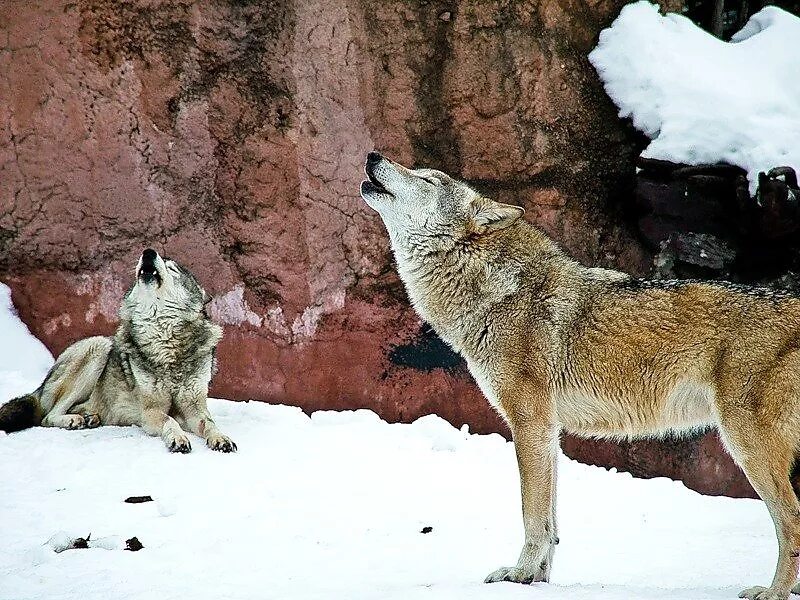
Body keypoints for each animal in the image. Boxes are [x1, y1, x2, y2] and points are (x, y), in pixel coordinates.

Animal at [0, 250, 238, 454]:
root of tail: (41, 386)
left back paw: (90, 418)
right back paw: (74, 420)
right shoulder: (150, 411)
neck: (165, 342)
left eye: (172, 268)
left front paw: (221, 438)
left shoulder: (194, 408)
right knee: (47, 416)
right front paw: (178, 439)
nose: (148, 252)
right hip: (99, 347)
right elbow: (169, 421)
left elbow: (210, 424)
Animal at [360, 151, 800, 600]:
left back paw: (774, 592)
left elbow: (533, 515)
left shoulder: (529, 424)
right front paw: (538, 578)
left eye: (428, 180)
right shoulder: (547, 432)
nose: (373, 156)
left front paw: (519, 575)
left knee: (791, 519)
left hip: (746, 444)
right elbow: (551, 521)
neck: (495, 292)